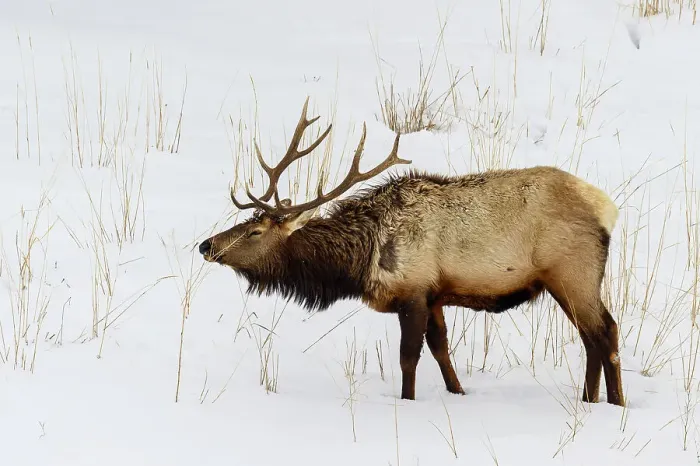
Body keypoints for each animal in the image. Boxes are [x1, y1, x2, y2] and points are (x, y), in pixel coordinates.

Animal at [199, 98, 625, 407]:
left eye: (254, 231)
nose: (206, 245)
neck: (361, 259)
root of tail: (607, 208)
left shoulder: (413, 292)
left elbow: (409, 359)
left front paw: (408, 401)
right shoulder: (435, 296)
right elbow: (441, 351)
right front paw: (458, 393)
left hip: (573, 273)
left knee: (604, 332)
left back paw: (613, 403)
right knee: (594, 338)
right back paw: (592, 400)